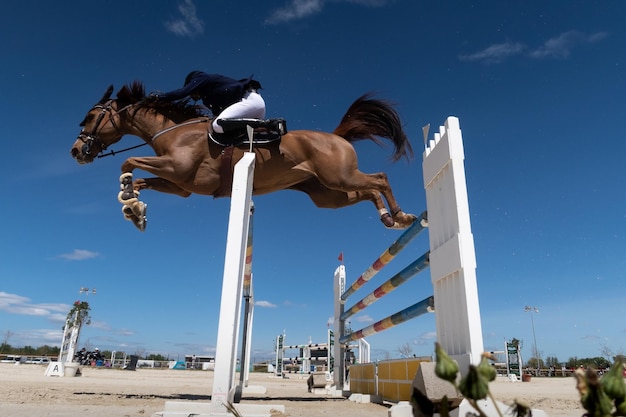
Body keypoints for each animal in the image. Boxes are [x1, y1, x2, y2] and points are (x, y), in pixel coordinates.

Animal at [69, 81, 414, 231]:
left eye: (91, 117)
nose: (75, 151)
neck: (173, 131)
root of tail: (337, 136)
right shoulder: (181, 186)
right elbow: (142, 180)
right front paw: (134, 209)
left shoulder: (177, 169)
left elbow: (128, 162)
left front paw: (128, 195)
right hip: (329, 194)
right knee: (367, 191)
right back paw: (388, 219)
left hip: (338, 177)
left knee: (379, 179)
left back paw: (401, 216)